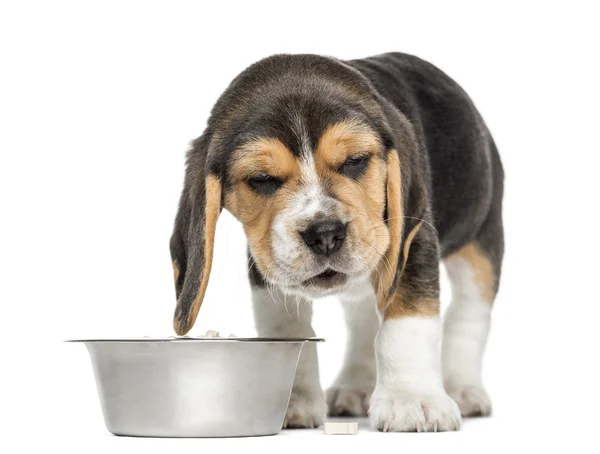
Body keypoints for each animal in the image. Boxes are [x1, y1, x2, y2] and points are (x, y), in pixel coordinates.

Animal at [171, 53, 504, 432]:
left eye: (355, 161)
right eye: (262, 178)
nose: (325, 233)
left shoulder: (414, 238)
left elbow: (407, 322)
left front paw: (411, 399)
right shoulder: (265, 266)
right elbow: (287, 328)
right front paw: (293, 399)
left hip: (481, 239)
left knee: (469, 314)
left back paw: (464, 389)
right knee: (363, 321)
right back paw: (354, 386)